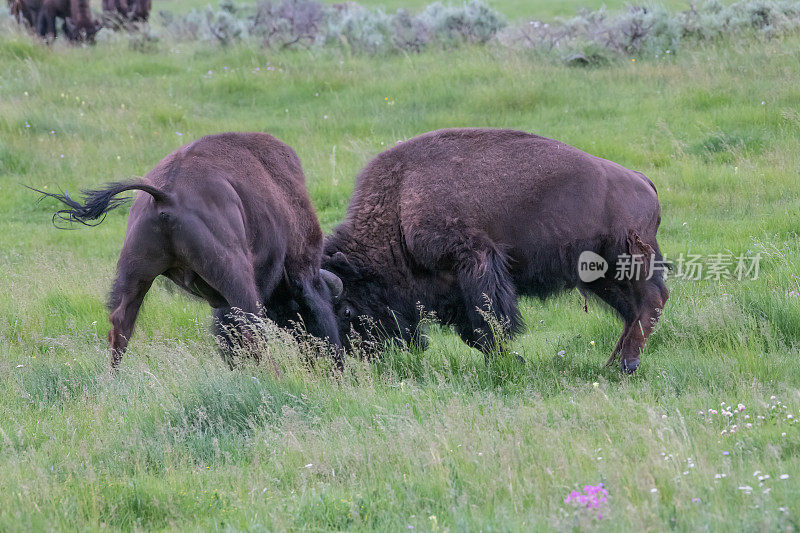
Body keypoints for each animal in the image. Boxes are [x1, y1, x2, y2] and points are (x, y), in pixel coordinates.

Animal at [34, 131, 342, 368]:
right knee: (251, 328)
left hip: (135, 270)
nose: (330, 362)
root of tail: (166, 194)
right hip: (235, 272)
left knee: (121, 324)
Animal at [324, 127, 668, 372]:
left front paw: (508, 361)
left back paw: (626, 365)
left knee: (652, 299)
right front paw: (510, 359)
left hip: (626, 258)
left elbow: (489, 322)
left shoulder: (475, 263)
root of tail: (642, 181)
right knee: (632, 311)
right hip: (599, 276)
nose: (360, 353)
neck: (399, 203)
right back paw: (610, 366)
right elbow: (474, 333)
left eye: (347, 309)